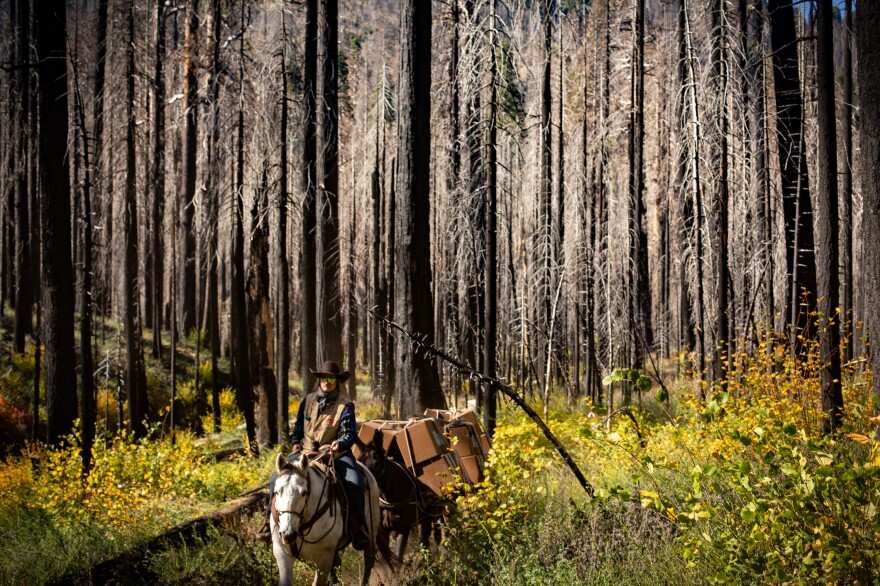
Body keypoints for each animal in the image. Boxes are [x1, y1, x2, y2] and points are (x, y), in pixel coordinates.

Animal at [268, 450, 392, 580]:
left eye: (304, 493)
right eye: (276, 492)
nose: (287, 534)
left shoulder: (325, 557)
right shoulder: (282, 555)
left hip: (371, 532)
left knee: (369, 561)